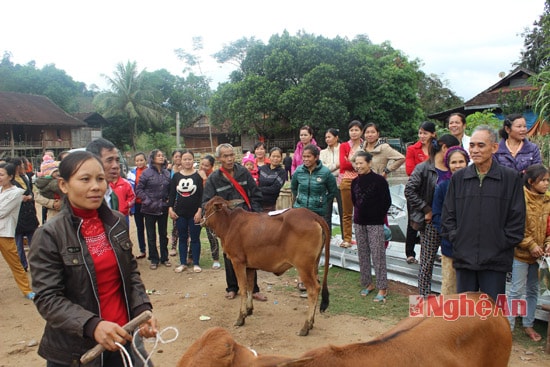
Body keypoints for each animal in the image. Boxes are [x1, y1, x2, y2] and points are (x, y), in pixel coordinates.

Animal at [203, 197, 332, 338]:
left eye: (205, 208)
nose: (196, 218)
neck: (229, 223)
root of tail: (313, 216)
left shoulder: (238, 262)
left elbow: (243, 289)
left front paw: (241, 318)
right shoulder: (250, 267)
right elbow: (250, 287)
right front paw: (249, 310)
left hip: (304, 267)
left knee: (314, 289)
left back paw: (306, 326)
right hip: (313, 265)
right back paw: (311, 323)